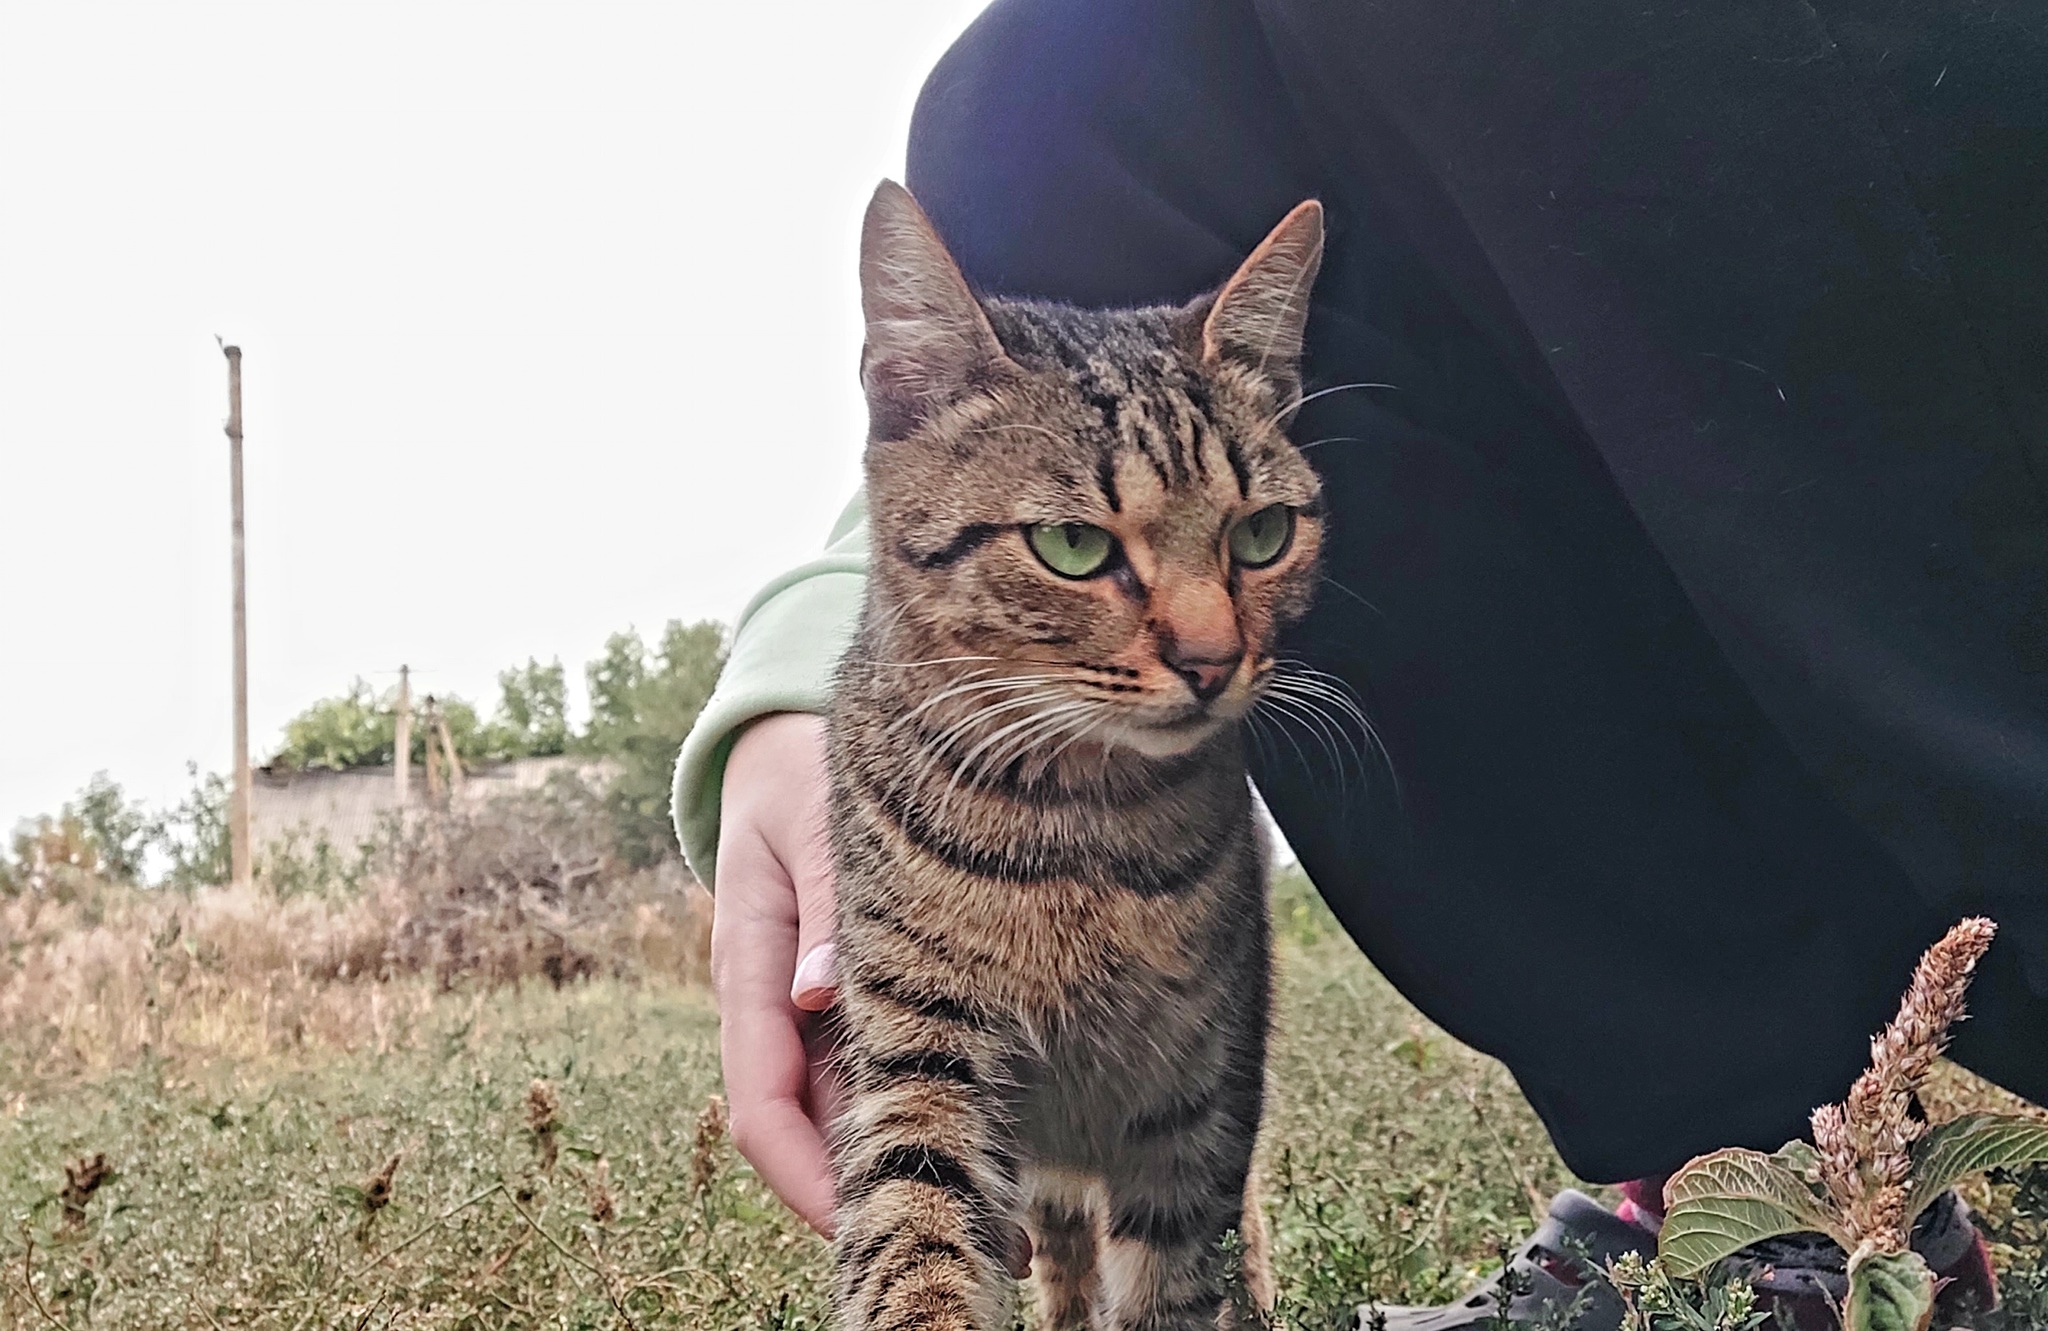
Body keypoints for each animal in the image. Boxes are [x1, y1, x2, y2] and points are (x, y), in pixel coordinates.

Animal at [827, 184, 1327, 1326]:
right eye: (1072, 546)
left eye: (1263, 533)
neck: (1077, 825)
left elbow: (1178, 1275)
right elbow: (912, 1233)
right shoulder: (921, 1042)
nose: (1211, 659)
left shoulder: (1198, 1093)